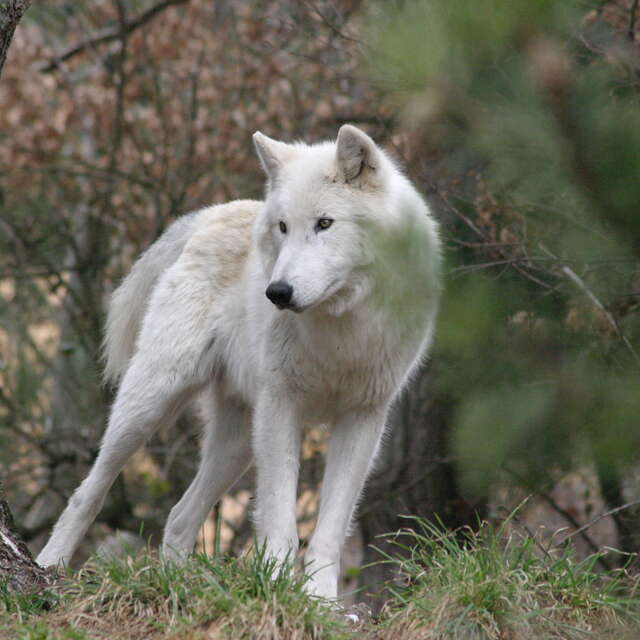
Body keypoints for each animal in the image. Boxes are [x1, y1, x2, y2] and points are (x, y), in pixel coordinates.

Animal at [37, 126, 442, 600]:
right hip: (152, 405)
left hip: (237, 442)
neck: (342, 328)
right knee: (88, 492)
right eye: (283, 227)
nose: (277, 293)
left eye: (324, 223)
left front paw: (321, 602)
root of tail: (212, 213)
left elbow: (328, 531)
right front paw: (281, 590)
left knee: (179, 516)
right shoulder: (282, 407)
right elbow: (281, 519)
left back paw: (177, 585)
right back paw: (47, 568)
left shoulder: (364, 418)